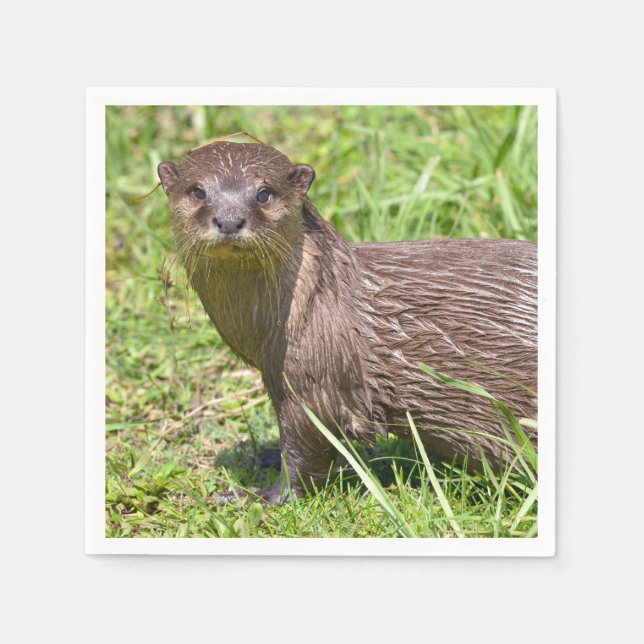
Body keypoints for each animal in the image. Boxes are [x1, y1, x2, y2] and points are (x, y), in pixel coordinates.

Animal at [158, 141, 537, 504]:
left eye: (263, 193)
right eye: (197, 191)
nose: (229, 220)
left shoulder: (314, 380)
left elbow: (306, 451)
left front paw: (258, 496)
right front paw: (264, 456)